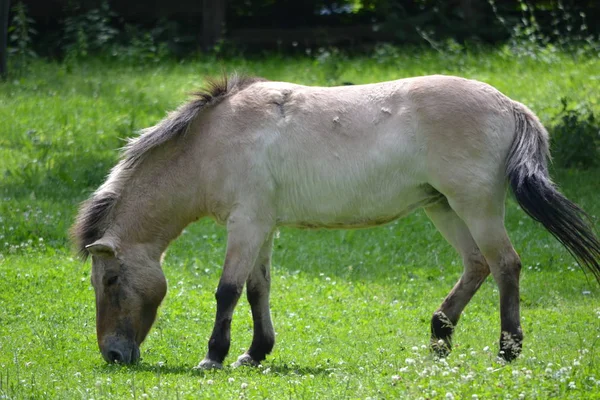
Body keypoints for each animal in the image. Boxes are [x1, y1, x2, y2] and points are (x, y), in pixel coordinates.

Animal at [71, 73, 600, 368]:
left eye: (111, 279)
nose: (113, 356)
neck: (212, 141)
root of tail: (509, 104)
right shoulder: (262, 227)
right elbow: (259, 290)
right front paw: (255, 353)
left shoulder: (245, 225)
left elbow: (228, 291)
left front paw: (214, 357)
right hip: (444, 207)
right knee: (478, 266)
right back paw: (439, 338)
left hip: (474, 206)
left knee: (506, 265)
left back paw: (507, 350)